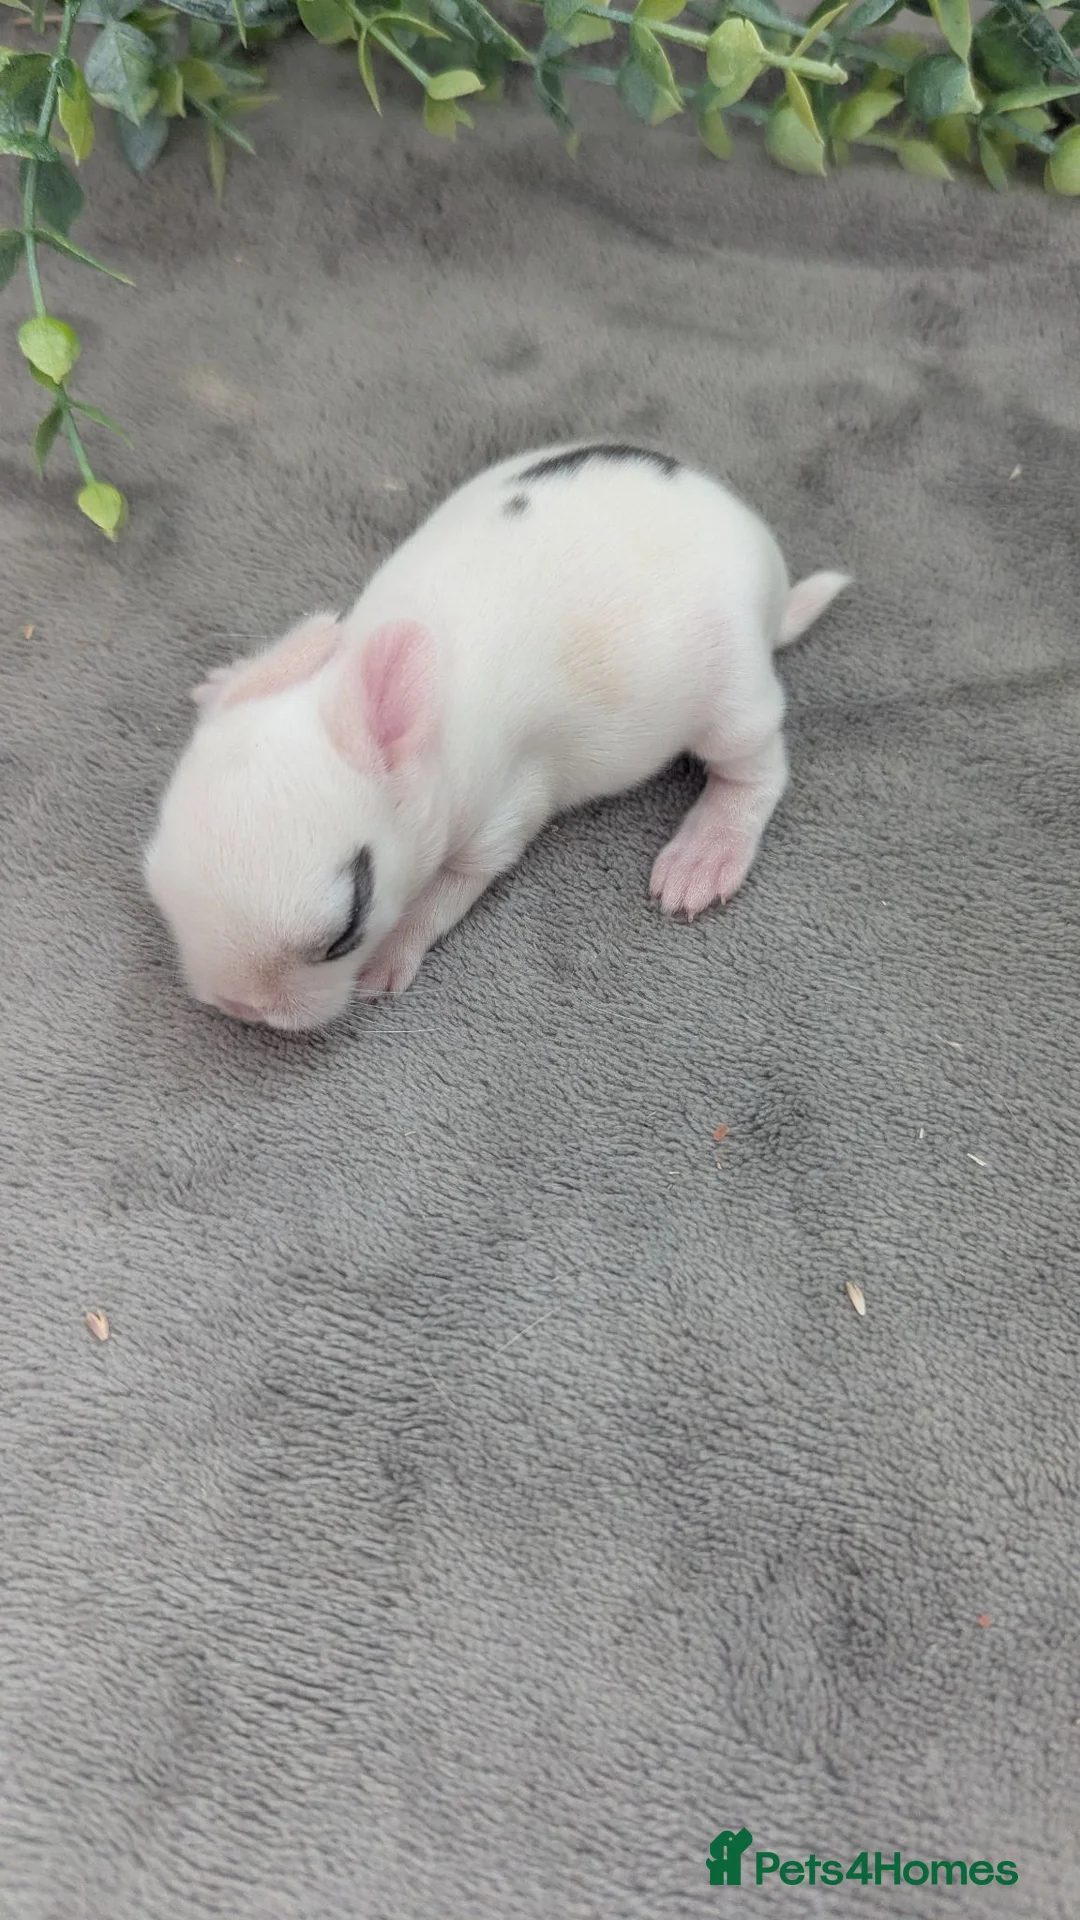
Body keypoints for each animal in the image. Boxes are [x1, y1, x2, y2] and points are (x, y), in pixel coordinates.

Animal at [144, 442, 849, 1030]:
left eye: (345, 933)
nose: (243, 1007)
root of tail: (775, 589)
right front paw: (225, 680)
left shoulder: (498, 821)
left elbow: (442, 896)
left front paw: (385, 959)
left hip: (732, 697)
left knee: (757, 767)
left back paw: (704, 858)